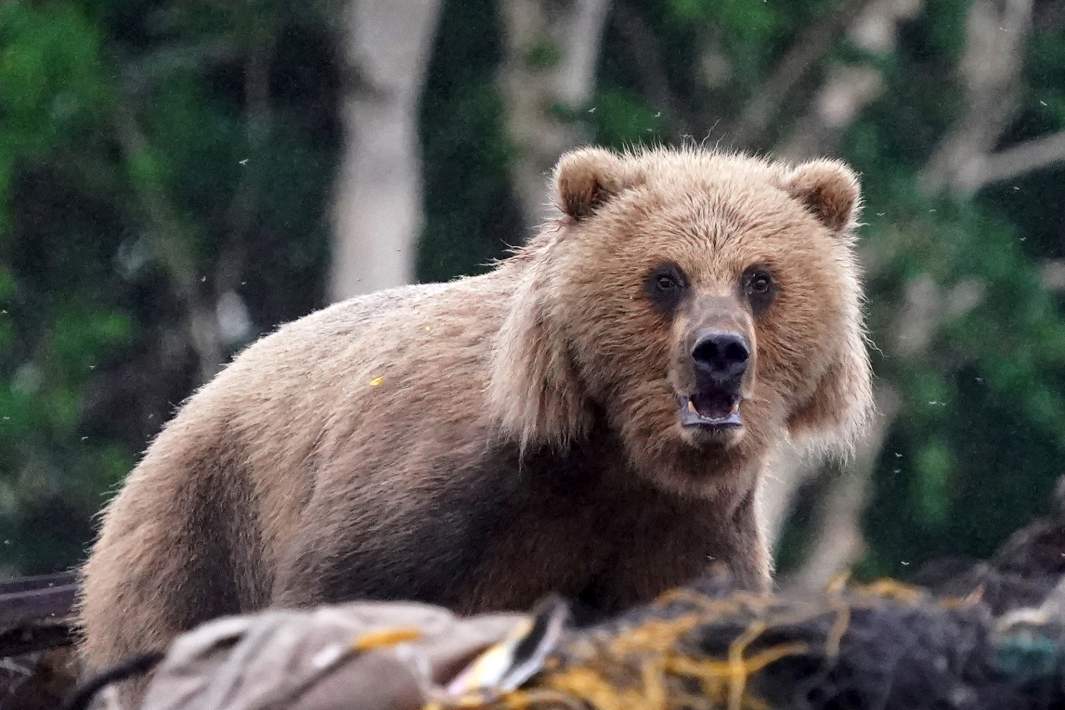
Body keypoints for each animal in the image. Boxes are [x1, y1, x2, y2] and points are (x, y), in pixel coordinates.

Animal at [76, 145, 873, 707]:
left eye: (760, 278)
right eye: (666, 276)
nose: (720, 353)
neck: (612, 454)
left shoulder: (684, 531)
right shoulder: (431, 490)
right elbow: (347, 597)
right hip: (199, 528)